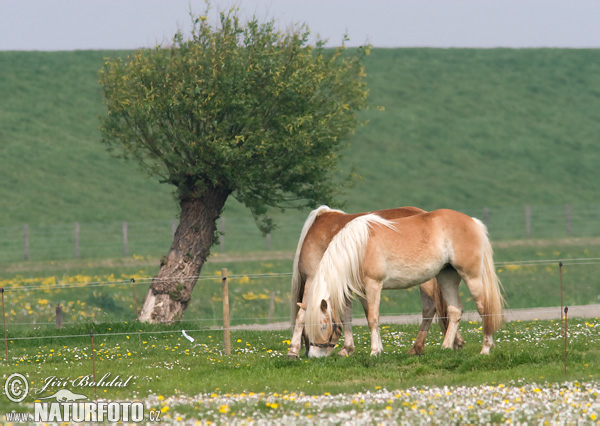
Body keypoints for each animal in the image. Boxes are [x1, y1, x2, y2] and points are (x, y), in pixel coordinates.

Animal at [302, 208, 504, 358]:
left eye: (323, 325)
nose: (313, 355)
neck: (358, 247)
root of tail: (472, 221)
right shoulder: (360, 291)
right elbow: (359, 317)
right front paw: (373, 349)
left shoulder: (373, 285)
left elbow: (373, 319)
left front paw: (374, 352)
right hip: (447, 277)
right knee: (455, 311)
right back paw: (445, 347)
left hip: (471, 276)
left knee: (484, 309)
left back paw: (485, 348)